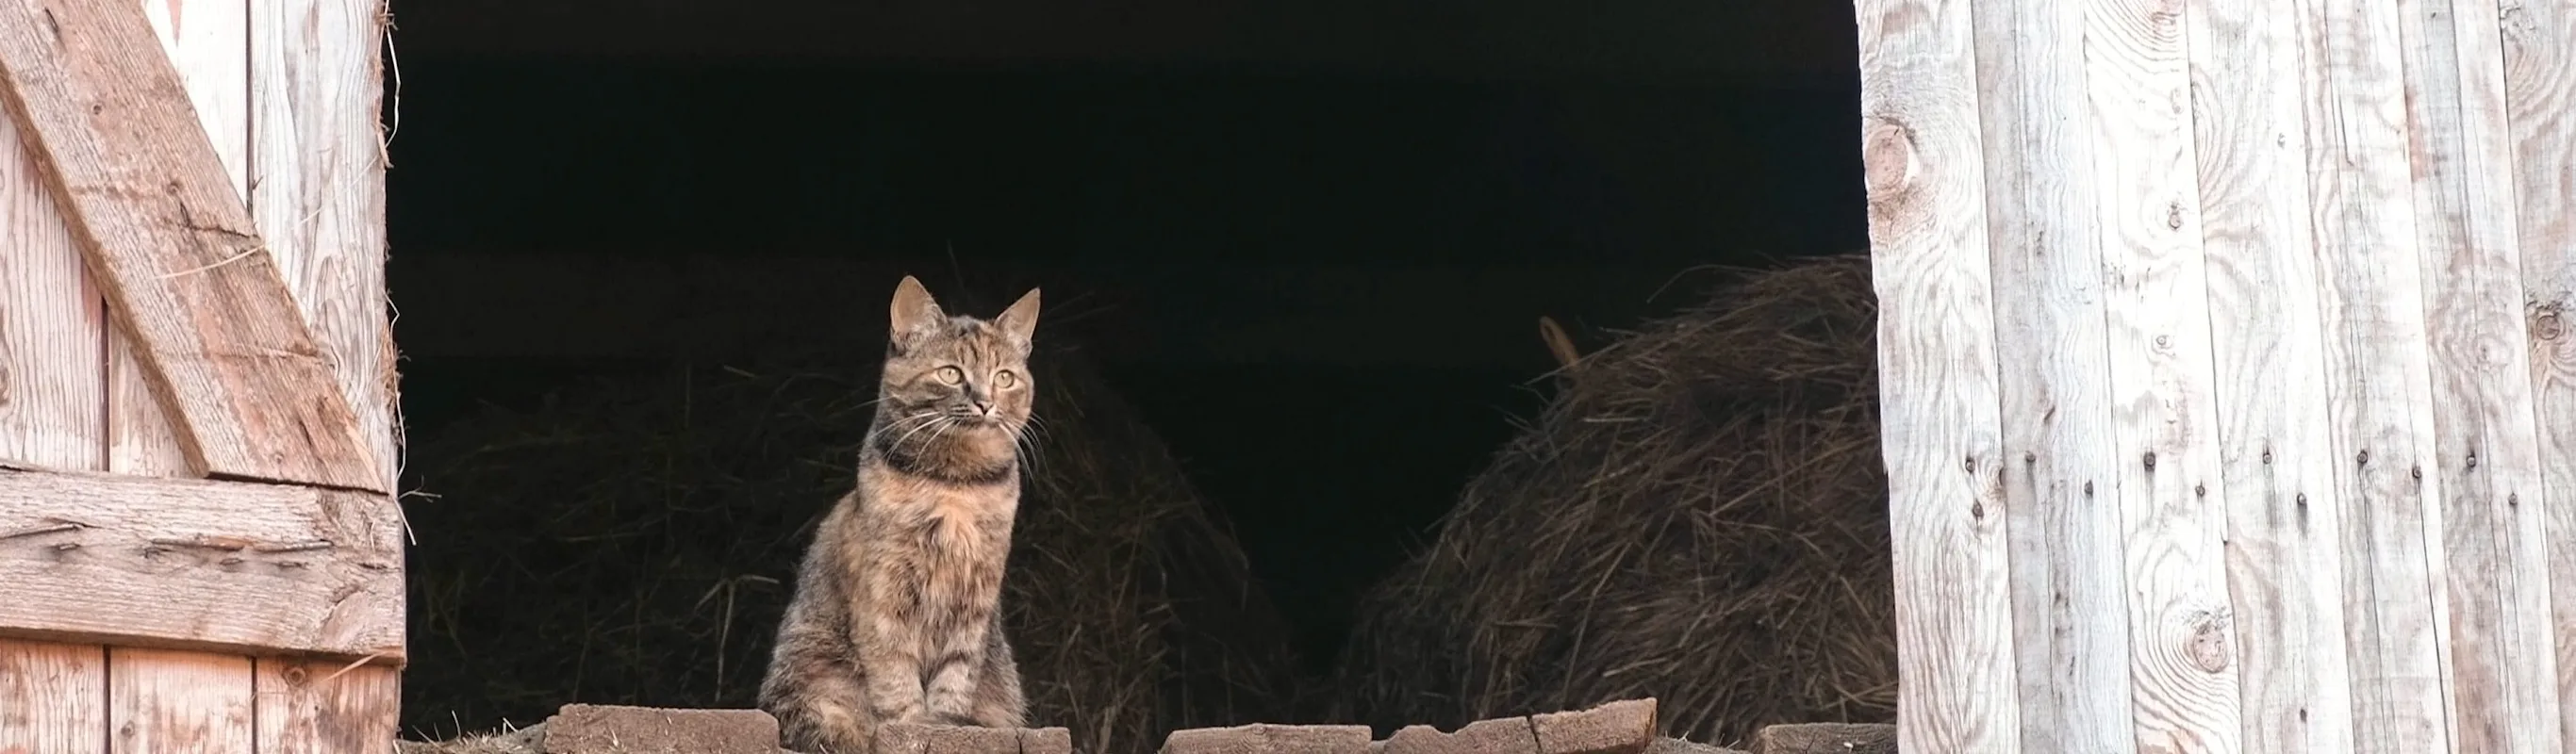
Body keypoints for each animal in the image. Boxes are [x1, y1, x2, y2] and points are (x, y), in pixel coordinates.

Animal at [757, 275, 1040, 751]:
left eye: (1004, 378)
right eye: (951, 373)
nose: (986, 402)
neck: (954, 486)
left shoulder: (976, 599)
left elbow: (956, 675)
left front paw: (946, 722)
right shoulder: (884, 593)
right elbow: (895, 676)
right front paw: (912, 723)